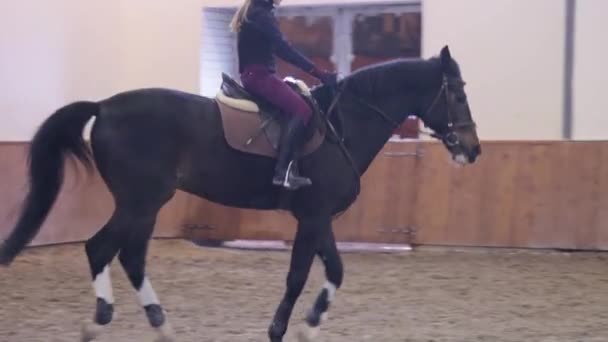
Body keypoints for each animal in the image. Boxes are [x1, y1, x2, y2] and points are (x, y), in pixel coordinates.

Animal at [0, 46, 480, 342]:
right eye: (457, 94)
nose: (473, 149)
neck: (344, 123)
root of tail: (104, 106)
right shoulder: (314, 215)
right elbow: (299, 275)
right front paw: (281, 330)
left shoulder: (318, 216)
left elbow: (335, 270)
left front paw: (308, 325)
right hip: (139, 201)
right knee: (100, 248)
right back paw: (99, 323)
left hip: (147, 205)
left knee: (130, 256)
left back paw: (161, 325)